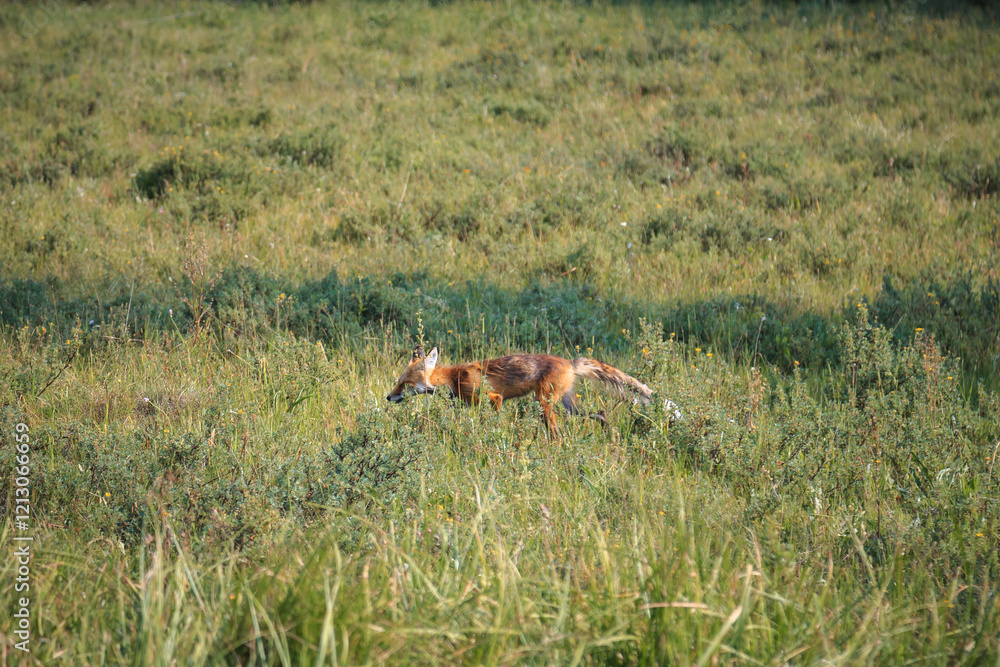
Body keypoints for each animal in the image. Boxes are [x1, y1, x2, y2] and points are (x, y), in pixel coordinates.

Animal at [386, 346, 652, 436]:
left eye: (405, 383)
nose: (388, 397)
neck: (455, 377)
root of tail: (570, 362)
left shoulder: (494, 398)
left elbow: (489, 422)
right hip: (569, 407)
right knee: (599, 413)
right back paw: (610, 433)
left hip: (545, 404)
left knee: (557, 434)